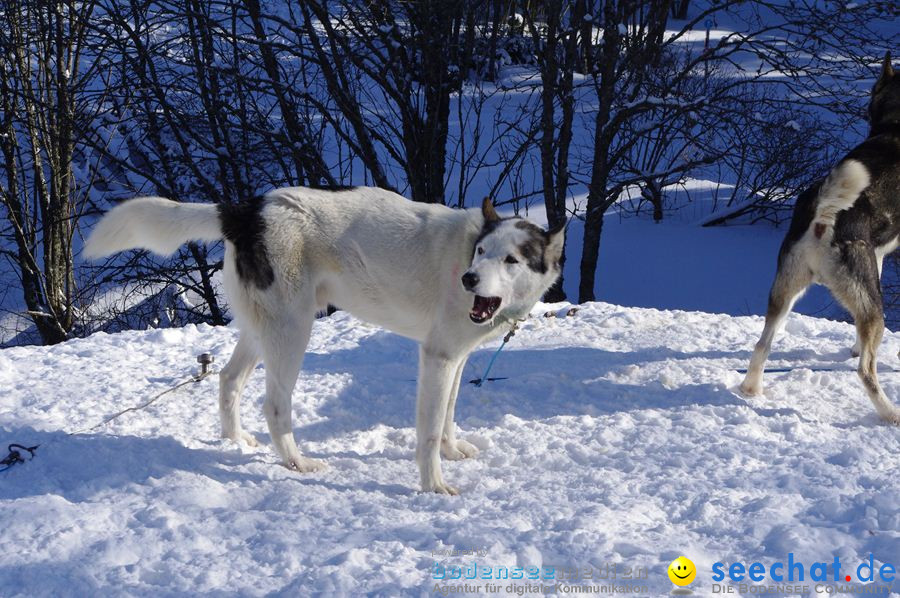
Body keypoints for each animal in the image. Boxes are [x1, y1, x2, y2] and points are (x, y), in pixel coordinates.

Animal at [84, 190, 564, 494]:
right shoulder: (437, 357)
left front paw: (453, 449)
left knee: (228, 380)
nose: (468, 279)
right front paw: (434, 485)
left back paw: (235, 440)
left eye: (510, 259)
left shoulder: (455, 359)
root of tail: (249, 211)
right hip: (291, 332)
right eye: (481, 252)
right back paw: (296, 462)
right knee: (275, 407)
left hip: (261, 331)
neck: (462, 250)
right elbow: (428, 432)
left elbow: (446, 417)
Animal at [740, 52, 900, 426]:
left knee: (762, 344)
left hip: (787, 292)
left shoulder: (878, 258)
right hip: (872, 308)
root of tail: (825, 213)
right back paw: (890, 414)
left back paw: (751, 390)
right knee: (866, 371)